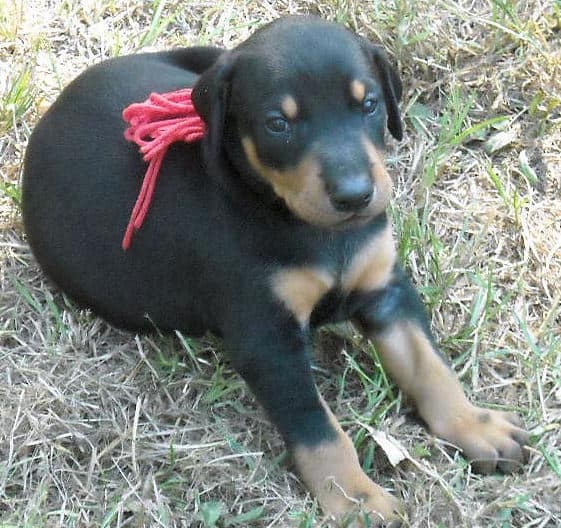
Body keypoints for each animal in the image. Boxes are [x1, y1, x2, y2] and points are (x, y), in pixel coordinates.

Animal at [23, 16, 528, 528]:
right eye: (277, 124)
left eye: (368, 105)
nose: (354, 195)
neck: (309, 228)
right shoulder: (267, 338)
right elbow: (317, 427)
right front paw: (355, 499)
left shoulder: (386, 290)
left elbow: (429, 365)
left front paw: (474, 425)